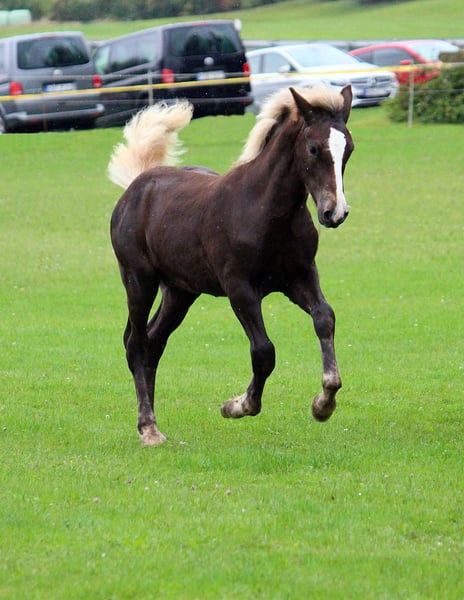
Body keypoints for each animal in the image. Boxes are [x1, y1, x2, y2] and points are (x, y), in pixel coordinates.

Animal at [108, 84, 354, 446]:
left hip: (180, 291)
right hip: (139, 279)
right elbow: (264, 351)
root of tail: (137, 184)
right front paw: (237, 406)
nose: (334, 212)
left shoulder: (300, 277)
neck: (266, 211)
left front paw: (323, 403)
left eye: (348, 148)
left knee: (154, 341)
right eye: (312, 149)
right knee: (136, 343)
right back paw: (148, 428)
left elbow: (325, 319)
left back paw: (151, 422)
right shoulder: (240, 288)